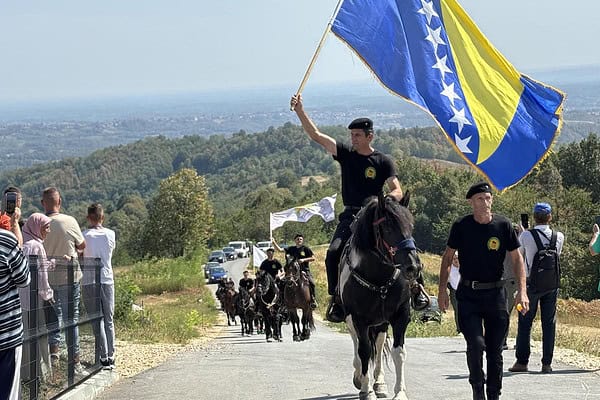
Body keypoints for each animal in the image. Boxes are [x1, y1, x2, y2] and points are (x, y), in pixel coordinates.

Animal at [338, 192, 422, 398]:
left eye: (411, 226)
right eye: (388, 227)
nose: (413, 267)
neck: (379, 278)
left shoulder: (400, 316)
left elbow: (398, 352)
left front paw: (399, 392)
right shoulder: (358, 319)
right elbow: (364, 351)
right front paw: (366, 390)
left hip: (381, 323)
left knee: (378, 343)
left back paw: (380, 382)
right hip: (352, 320)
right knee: (358, 345)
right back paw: (360, 376)